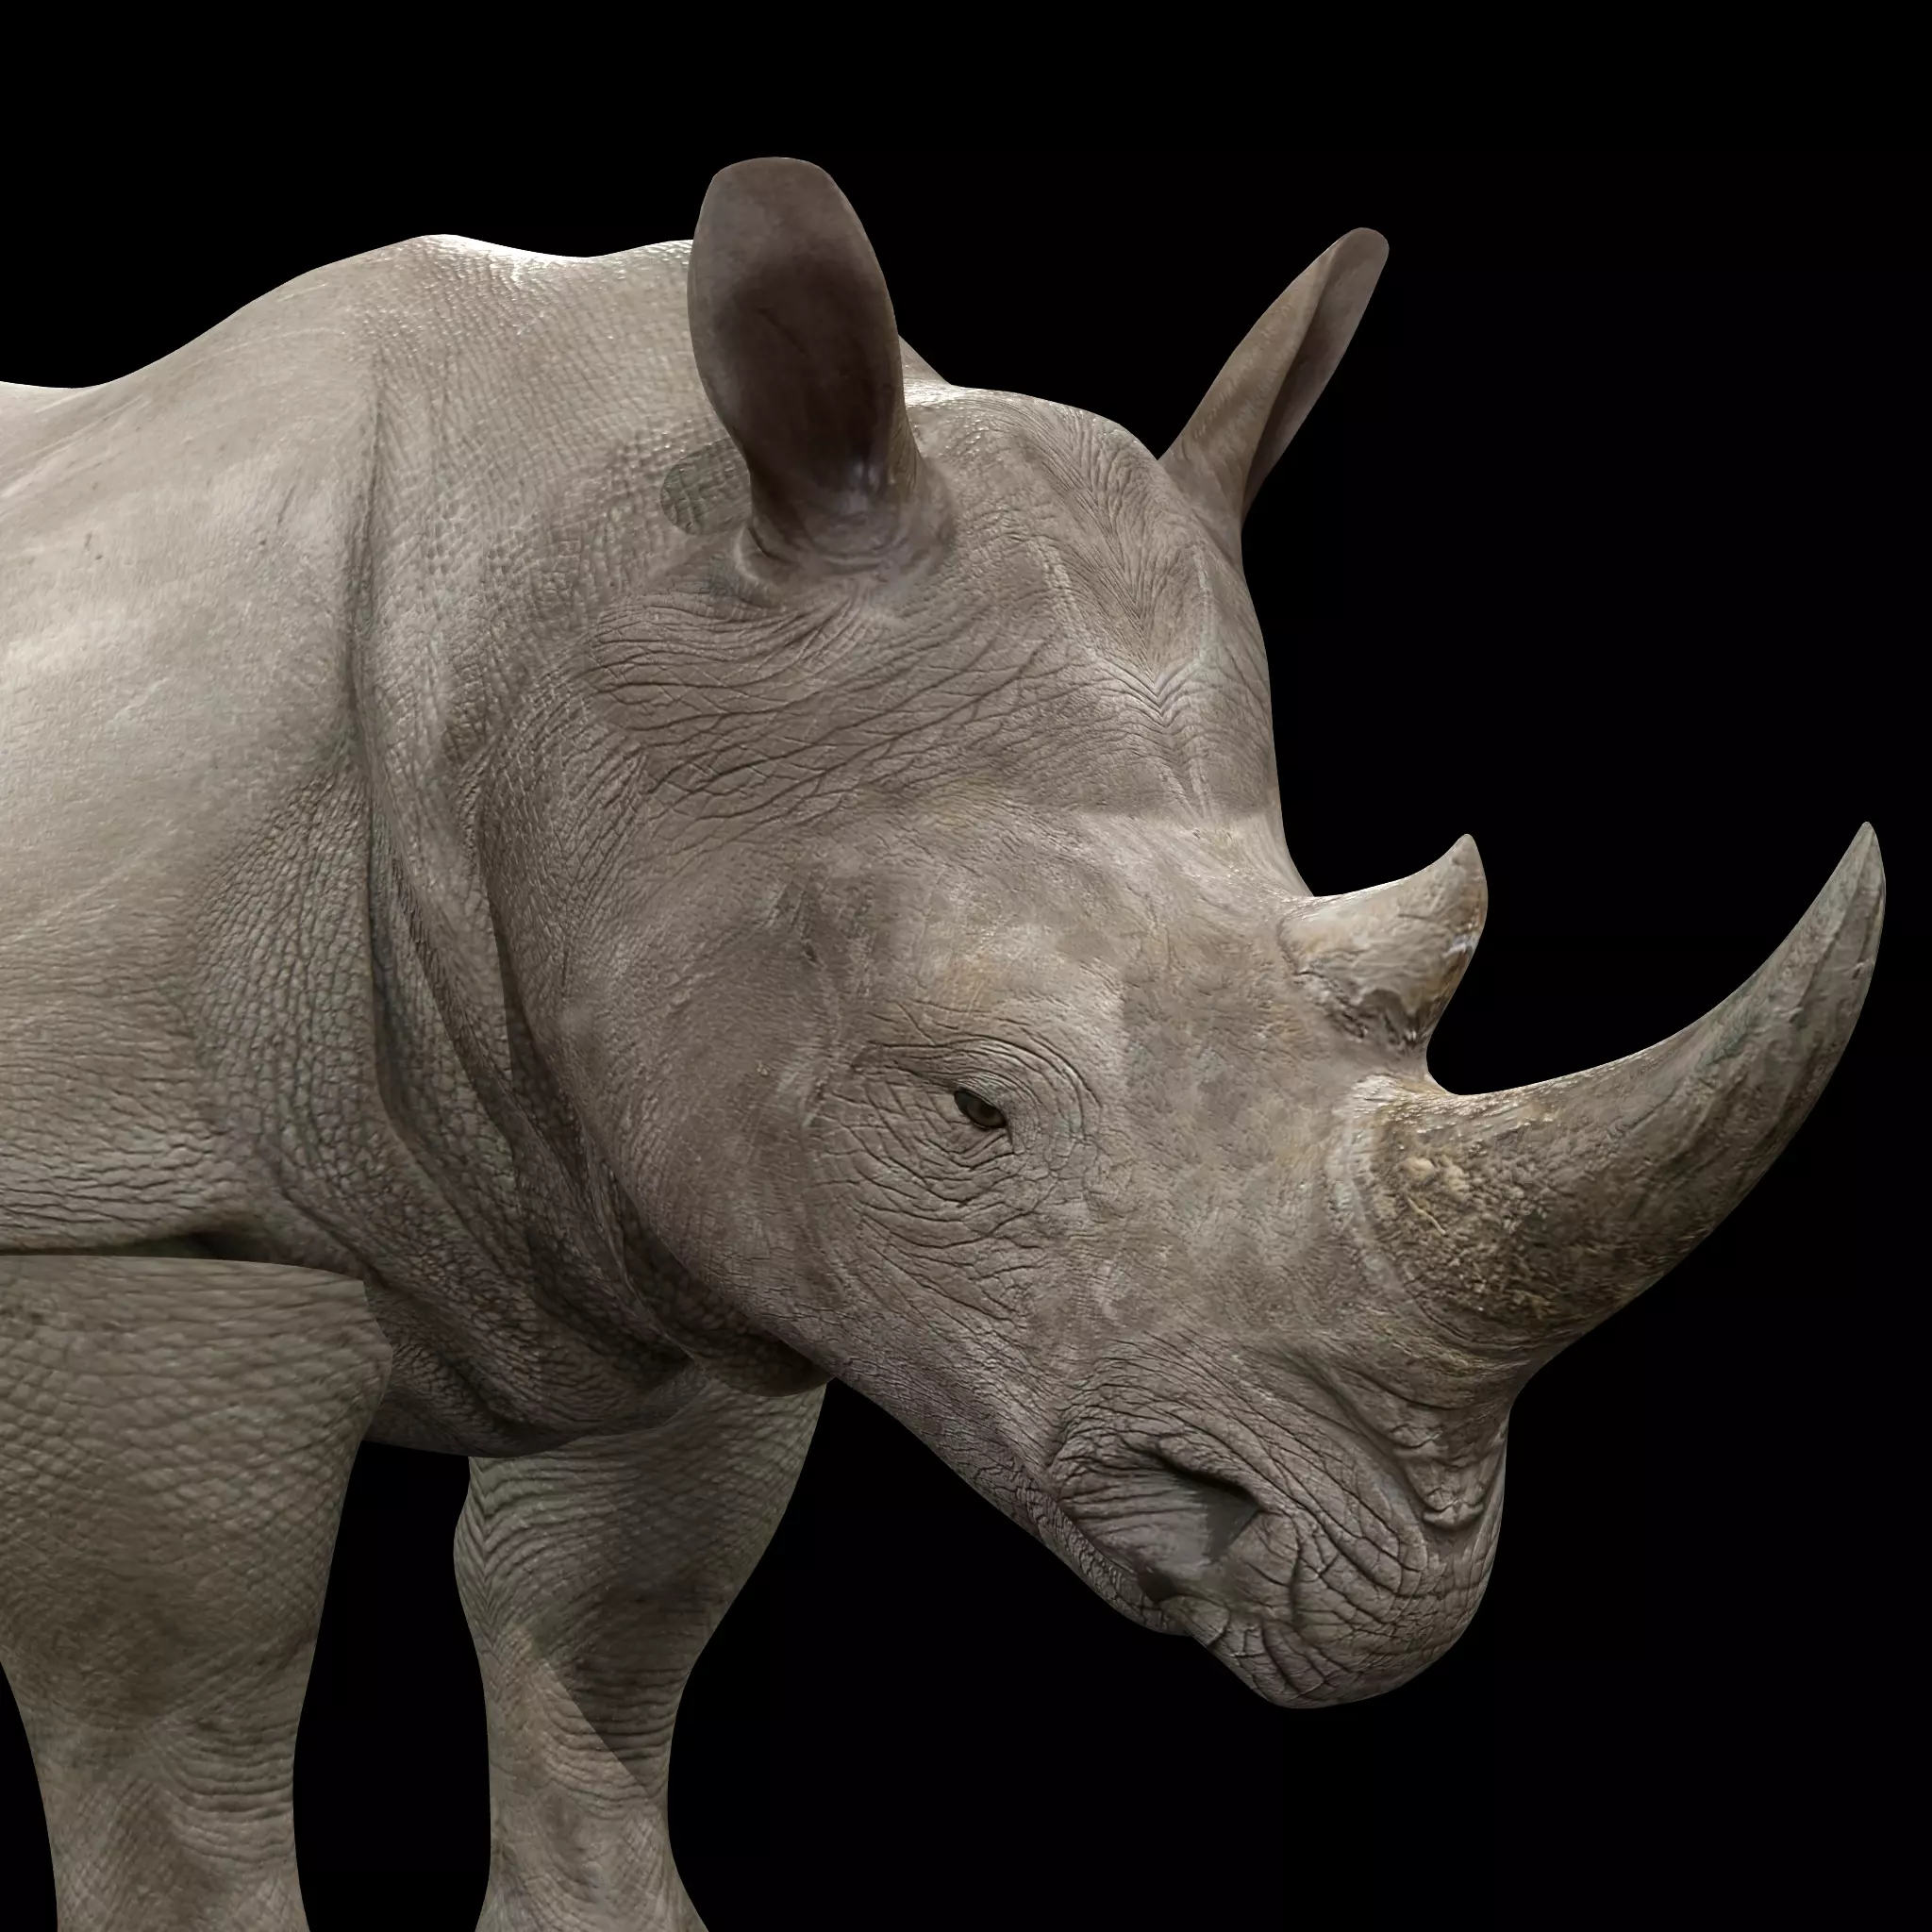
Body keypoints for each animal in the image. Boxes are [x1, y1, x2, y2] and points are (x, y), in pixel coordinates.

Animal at [0, 155, 1884, 1931]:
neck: (554, 624)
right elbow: (178, 1721)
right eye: (971, 1110)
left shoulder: (684, 1196)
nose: (1391, 1583)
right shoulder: (133, 1206)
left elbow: (598, 1642)